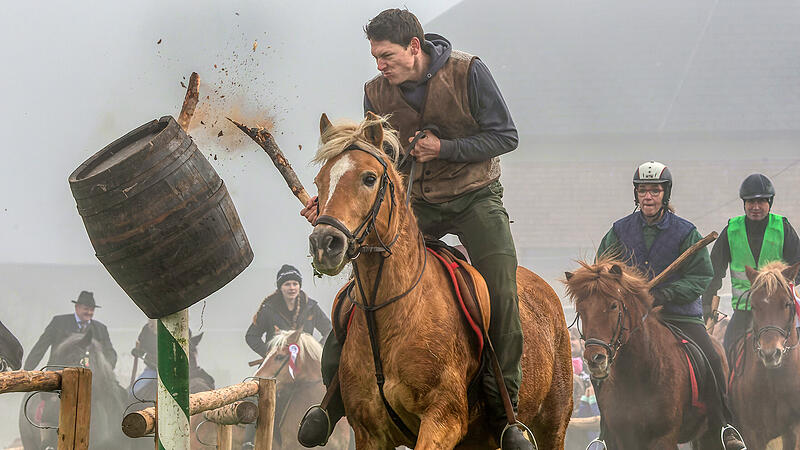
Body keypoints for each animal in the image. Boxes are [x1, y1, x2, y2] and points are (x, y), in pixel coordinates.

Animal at [304, 114, 572, 448]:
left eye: (368, 178)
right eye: (319, 181)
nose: (324, 243)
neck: (395, 312)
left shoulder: (443, 419)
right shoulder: (369, 432)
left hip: (552, 425)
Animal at [564, 258, 732, 448]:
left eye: (613, 305)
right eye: (580, 310)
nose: (595, 359)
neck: (636, 376)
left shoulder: (664, 438)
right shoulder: (624, 438)